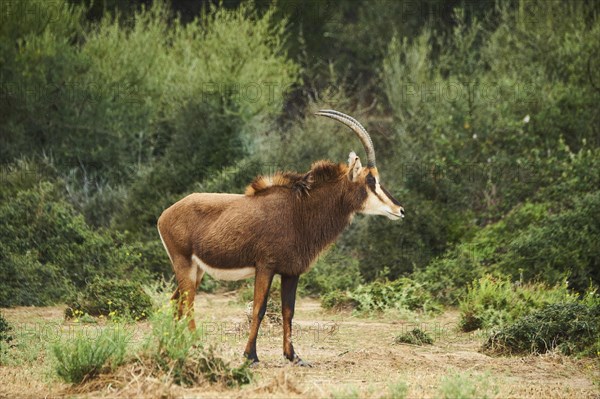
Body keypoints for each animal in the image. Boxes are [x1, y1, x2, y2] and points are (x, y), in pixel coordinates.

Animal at [157, 109, 406, 366]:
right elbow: (259, 308)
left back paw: (174, 347)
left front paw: (293, 356)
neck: (299, 211)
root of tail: (165, 214)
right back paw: (195, 347)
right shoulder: (265, 267)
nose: (400, 210)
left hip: (197, 271)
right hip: (184, 264)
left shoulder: (291, 272)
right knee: (187, 304)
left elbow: (289, 311)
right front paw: (251, 356)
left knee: (176, 301)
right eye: (371, 180)